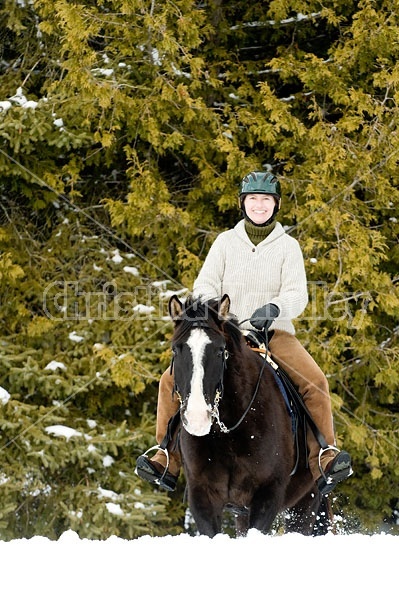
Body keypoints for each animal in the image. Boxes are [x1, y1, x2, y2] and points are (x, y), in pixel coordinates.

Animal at [169, 294, 332, 540]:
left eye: (220, 350)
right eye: (176, 350)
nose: (197, 418)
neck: (229, 432)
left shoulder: (268, 494)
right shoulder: (202, 494)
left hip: (306, 502)